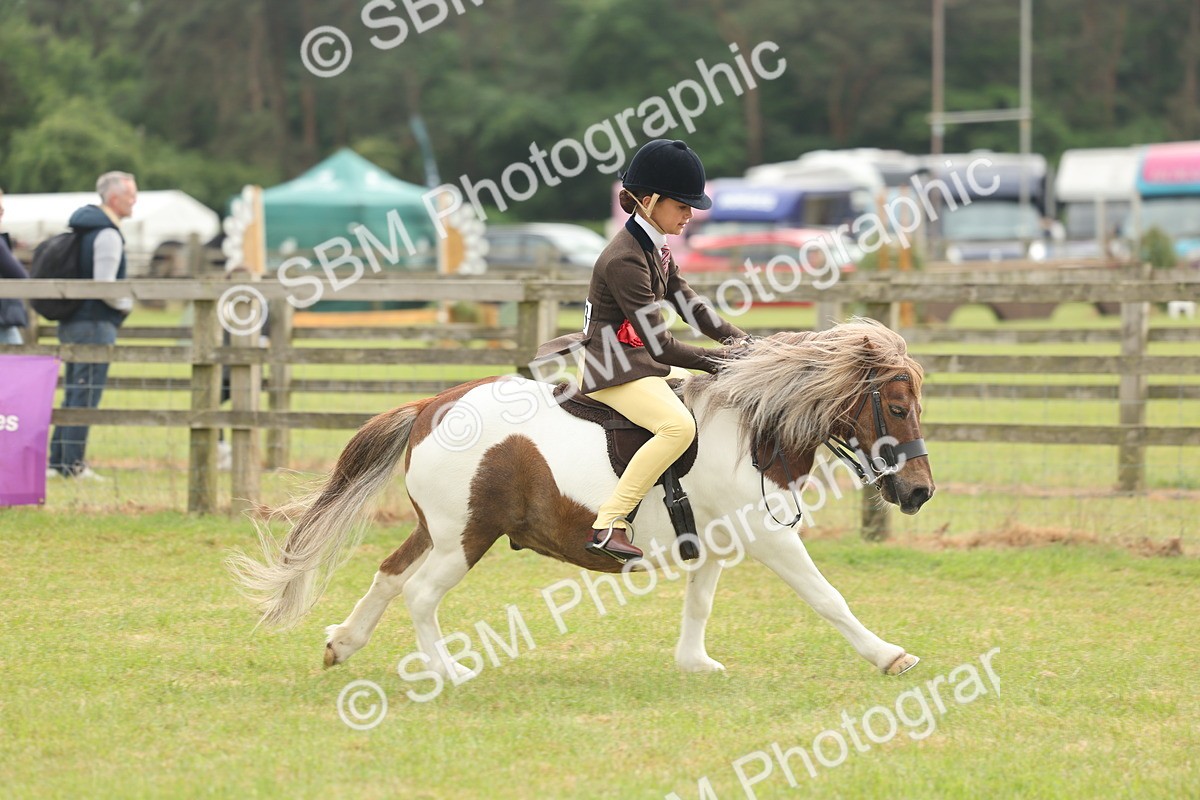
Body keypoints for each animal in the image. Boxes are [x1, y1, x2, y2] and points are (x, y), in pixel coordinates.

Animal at [228, 318, 935, 678]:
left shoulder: (718, 543)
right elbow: (829, 598)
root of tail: (432, 405)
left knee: (388, 574)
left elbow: (700, 603)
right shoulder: (769, 539)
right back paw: (449, 672)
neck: (750, 432)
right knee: (420, 594)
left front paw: (694, 663)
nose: (921, 492)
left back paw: (342, 644)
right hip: (466, 537)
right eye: (899, 407)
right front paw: (889, 655)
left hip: (439, 529)